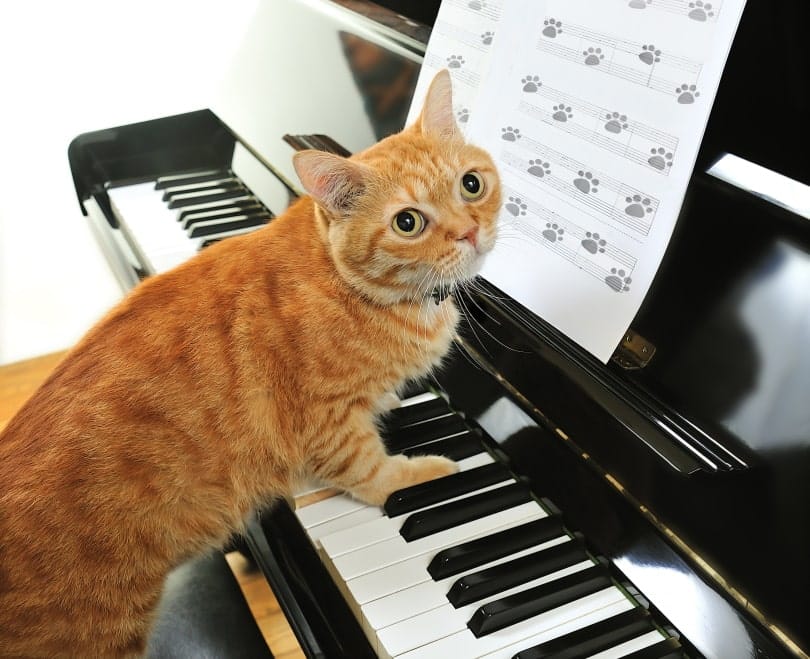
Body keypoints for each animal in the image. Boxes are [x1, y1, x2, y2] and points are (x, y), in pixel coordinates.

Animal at [0, 69, 498, 656]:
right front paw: (418, 473)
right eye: (407, 222)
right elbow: (371, 471)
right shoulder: (326, 423)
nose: (468, 232)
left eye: (471, 185)